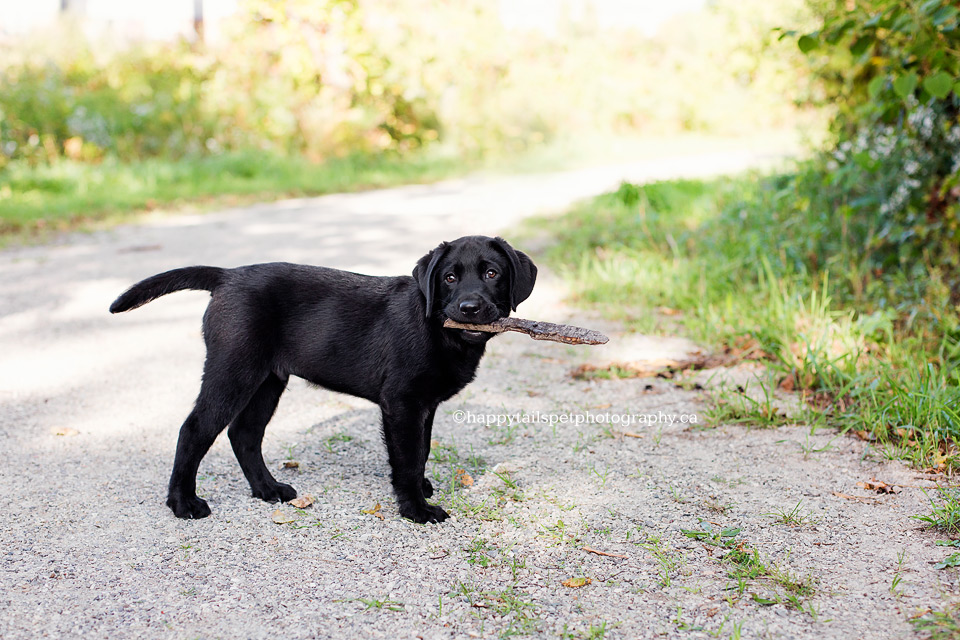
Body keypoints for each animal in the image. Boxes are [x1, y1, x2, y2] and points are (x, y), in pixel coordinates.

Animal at [110, 238, 540, 524]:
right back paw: (183, 503)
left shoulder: (425, 405)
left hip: (267, 380)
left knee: (243, 434)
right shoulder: (401, 402)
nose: (469, 308)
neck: (437, 328)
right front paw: (416, 508)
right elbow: (406, 458)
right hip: (233, 369)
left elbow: (422, 450)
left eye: (492, 273)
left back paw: (268, 490)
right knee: (195, 429)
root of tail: (227, 276)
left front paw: (421, 488)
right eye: (450, 277)